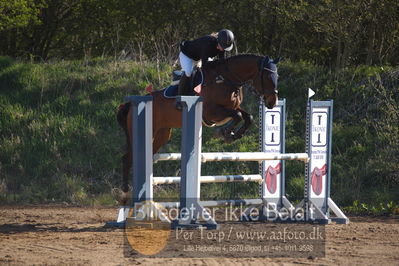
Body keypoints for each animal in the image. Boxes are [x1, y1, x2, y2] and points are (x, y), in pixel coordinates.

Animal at [115, 54, 282, 204]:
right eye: (268, 76)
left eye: (277, 76)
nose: (272, 103)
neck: (227, 79)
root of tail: (131, 104)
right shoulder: (211, 112)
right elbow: (238, 116)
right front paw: (224, 133)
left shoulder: (231, 108)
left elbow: (248, 117)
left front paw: (234, 135)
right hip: (147, 131)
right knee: (127, 158)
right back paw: (124, 192)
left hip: (162, 134)